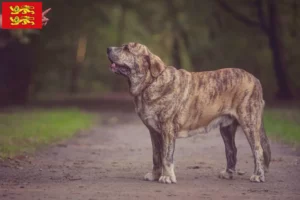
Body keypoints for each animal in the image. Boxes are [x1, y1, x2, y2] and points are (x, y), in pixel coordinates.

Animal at [107, 42, 272, 184]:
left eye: (127, 48)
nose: (108, 49)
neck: (150, 83)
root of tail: (256, 80)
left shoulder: (167, 129)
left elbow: (166, 156)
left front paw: (167, 177)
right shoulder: (154, 132)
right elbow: (156, 156)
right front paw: (154, 175)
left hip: (249, 122)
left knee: (257, 150)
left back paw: (258, 175)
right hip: (226, 128)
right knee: (232, 149)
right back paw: (228, 173)